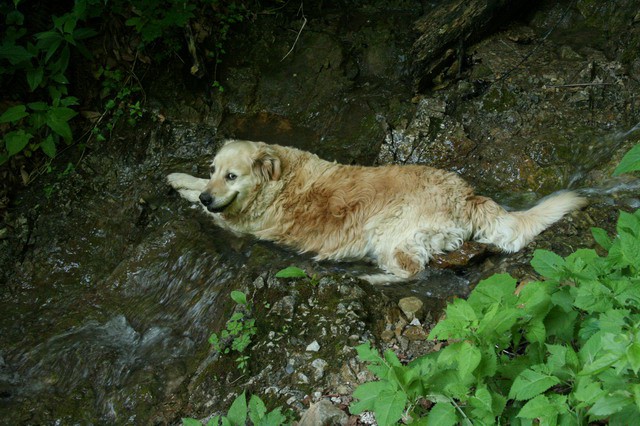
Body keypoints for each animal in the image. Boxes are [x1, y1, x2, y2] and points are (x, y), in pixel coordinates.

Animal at [168, 140, 588, 282]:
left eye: (232, 176)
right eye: (214, 170)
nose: (209, 196)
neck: (277, 179)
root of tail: (467, 194)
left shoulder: (239, 224)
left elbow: (206, 211)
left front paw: (184, 188)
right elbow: (194, 185)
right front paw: (182, 178)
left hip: (389, 233)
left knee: (412, 272)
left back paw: (371, 278)